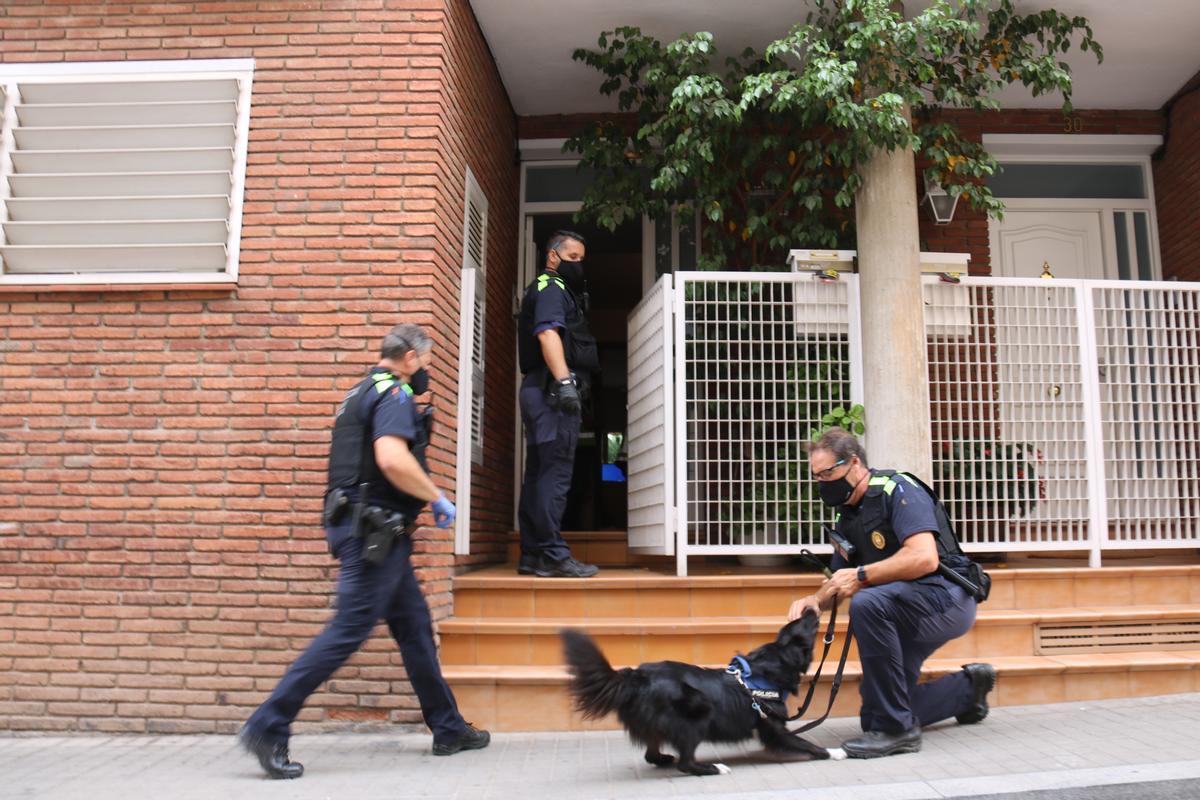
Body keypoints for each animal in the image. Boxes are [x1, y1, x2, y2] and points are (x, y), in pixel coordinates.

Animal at [561, 609, 835, 772]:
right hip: (697, 714)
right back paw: (714, 768)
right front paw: (833, 752)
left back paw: (664, 759)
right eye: (804, 624)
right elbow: (808, 744)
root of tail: (637, 677)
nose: (810, 609)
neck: (774, 662)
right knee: (686, 763)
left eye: (796, 621)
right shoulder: (774, 728)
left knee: (652, 754)